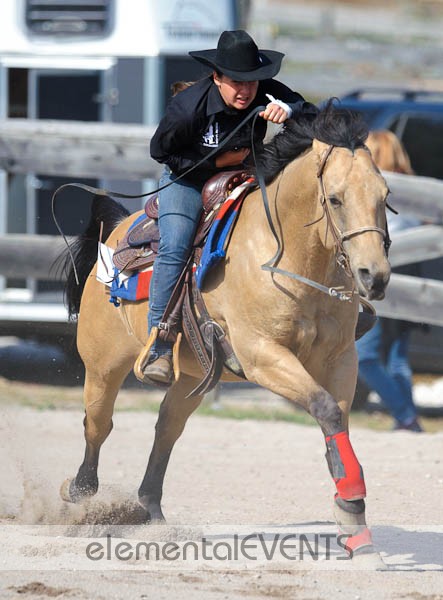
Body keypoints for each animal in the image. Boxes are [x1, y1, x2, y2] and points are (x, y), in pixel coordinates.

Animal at [60, 103, 391, 564]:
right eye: (336, 199)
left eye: (385, 196)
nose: (374, 276)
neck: (286, 258)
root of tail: (116, 232)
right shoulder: (262, 356)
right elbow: (325, 409)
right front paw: (351, 504)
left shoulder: (341, 359)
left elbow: (336, 419)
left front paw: (353, 519)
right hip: (104, 366)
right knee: (98, 424)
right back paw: (81, 495)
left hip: (193, 375)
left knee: (167, 426)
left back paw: (152, 513)